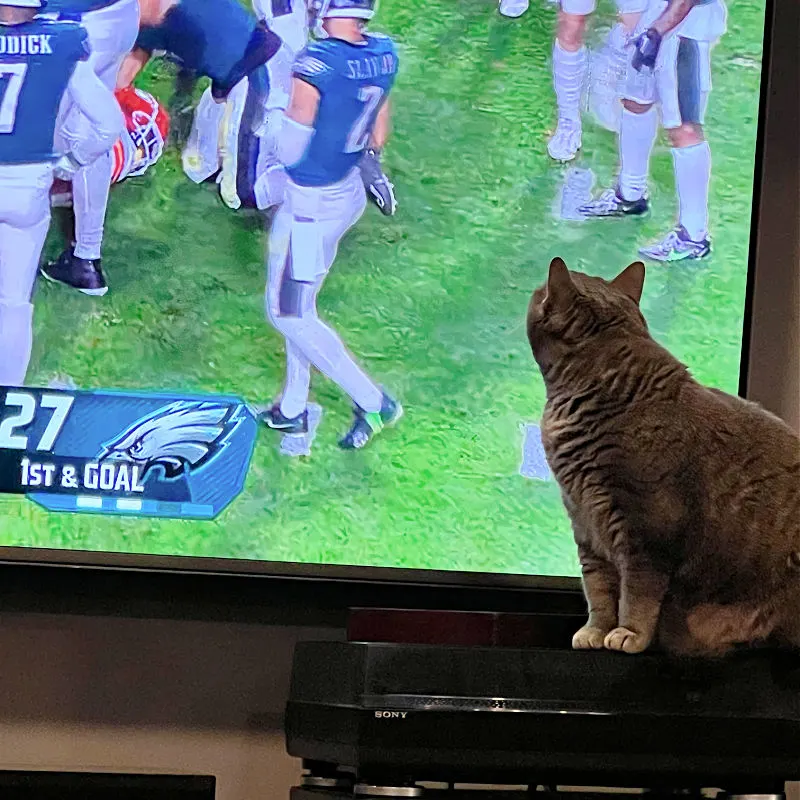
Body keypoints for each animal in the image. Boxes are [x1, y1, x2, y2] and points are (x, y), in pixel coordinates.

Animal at [528, 260, 796, 660]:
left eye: (538, 293)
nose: (533, 291)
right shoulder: (586, 526)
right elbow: (599, 591)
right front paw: (595, 632)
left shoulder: (646, 531)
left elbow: (637, 595)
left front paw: (628, 634)